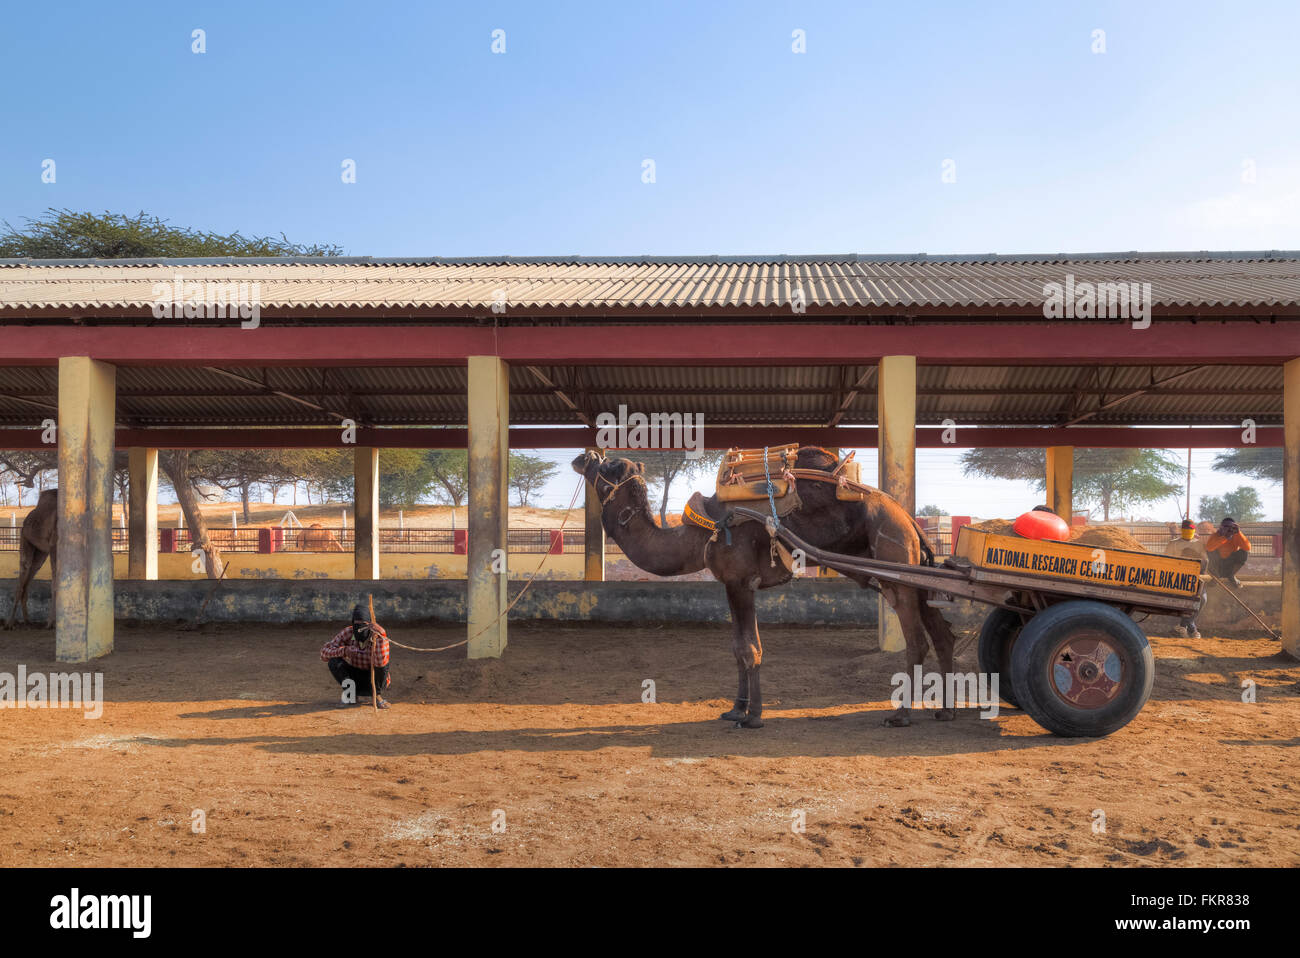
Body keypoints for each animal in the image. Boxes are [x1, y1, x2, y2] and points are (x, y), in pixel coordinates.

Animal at [3, 488, 57, 631]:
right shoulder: (54, 545)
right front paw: (51, 623)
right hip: (25, 541)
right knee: (23, 575)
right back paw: (9, 624)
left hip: (41, 552)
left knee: (30, 576)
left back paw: (27, 621)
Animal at [574, 447, 961, 722]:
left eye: (610, 467)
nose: (585, 456)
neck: (700, 535)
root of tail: (909, 520)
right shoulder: (731, 585)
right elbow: (737, 648)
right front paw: (734, 709)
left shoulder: (741, 581)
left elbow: (749, 649)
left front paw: (753, 716)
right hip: (912, 574)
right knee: (942, 635)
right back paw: (945, 710)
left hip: (898, 569)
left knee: (917, 641)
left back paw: (902, 715)